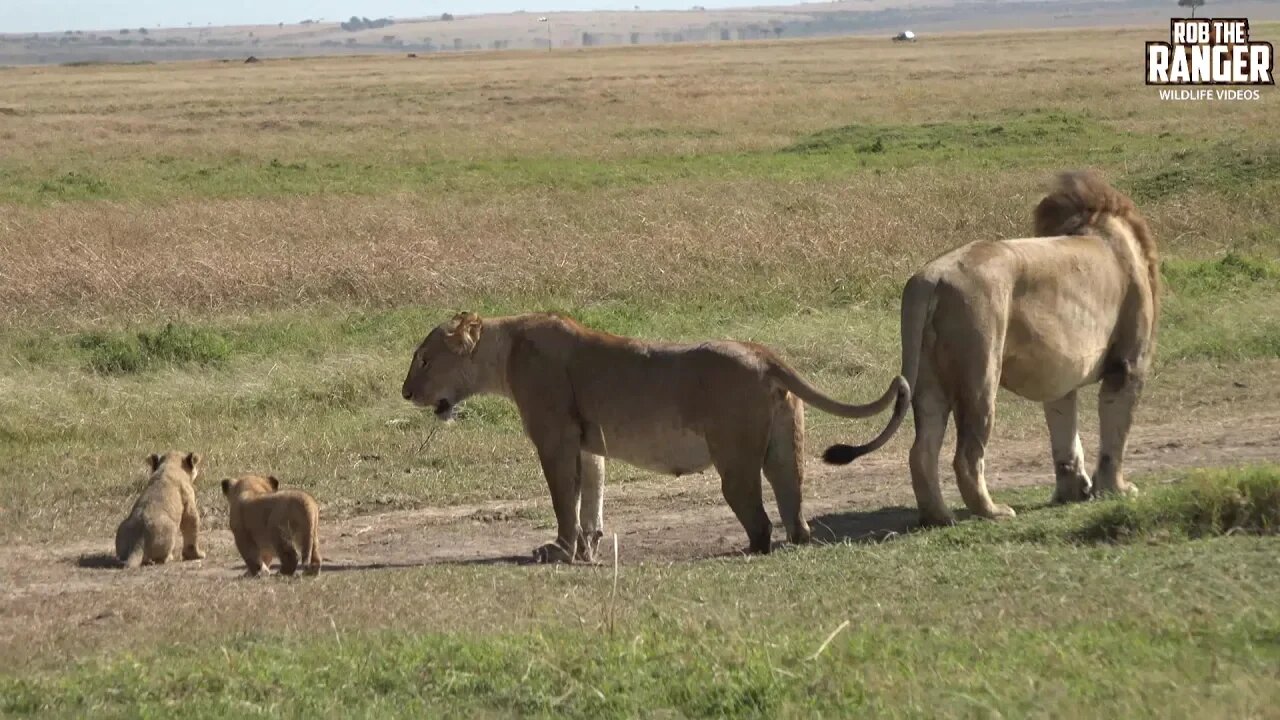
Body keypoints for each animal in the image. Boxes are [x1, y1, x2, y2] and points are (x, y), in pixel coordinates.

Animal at [399, 313, 911, 561]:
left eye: (424, 359)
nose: (405, 392)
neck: (504, 351)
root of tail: (765, 355)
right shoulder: (587, 443)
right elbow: (591, 498)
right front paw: (587, 550)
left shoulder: (555, 438)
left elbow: (564, 501)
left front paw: (559, 551)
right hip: (787, 450)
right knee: (795, 514)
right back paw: (793, 541)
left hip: (735, 459)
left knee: (762, 522)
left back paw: (746, 552)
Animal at [824, 170, 1157, 525]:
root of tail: (930, 278)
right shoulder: (1129, 364)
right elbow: (1115, 433)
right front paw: (1116, 489)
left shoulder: (1060, 376)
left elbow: (1065, 433)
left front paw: (1072, 492)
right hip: (979, 372)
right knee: (966, 456)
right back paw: (993, 511)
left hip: (928, 380)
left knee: (922, 451)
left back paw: (939, 516)